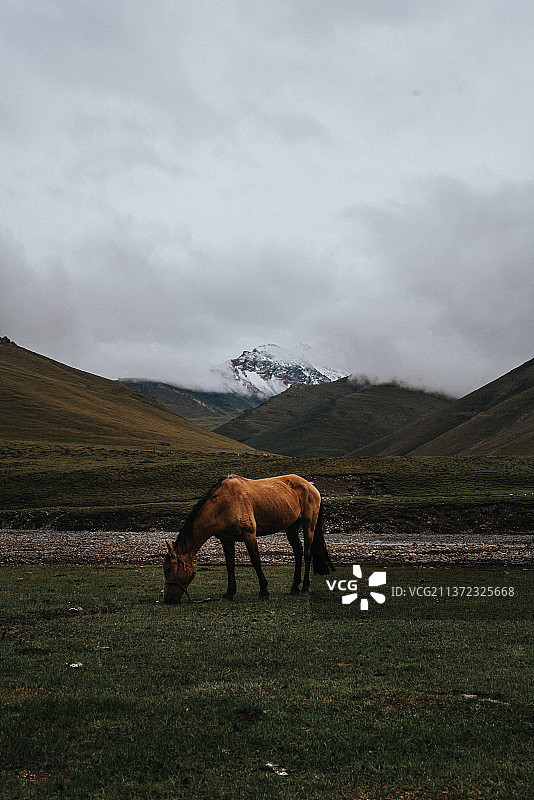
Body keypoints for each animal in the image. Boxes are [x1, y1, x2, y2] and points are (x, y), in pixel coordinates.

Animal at [163, 473, 334, 604]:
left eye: (168, 569)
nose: (168, 599)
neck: (223, 505)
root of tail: (311, 486)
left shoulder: (249, 535)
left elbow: (256, 561)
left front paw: (264, 591)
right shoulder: (226, 540)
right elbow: (230, 566)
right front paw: (229, 594)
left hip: (308, 524)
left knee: (307, 553)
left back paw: (304, 588)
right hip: (291, 526)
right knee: (298, 552)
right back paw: (294, 587)